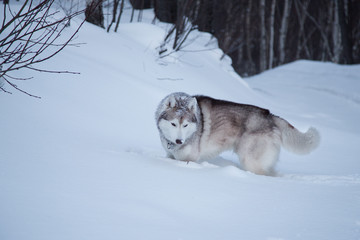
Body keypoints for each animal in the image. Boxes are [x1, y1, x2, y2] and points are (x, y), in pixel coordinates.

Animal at [155, 93, 320, 175]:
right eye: (173, 124)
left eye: (185, 125)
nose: (179, 141)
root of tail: (270, 115)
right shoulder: (170, 156)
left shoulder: (189, 160)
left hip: (250, 160)